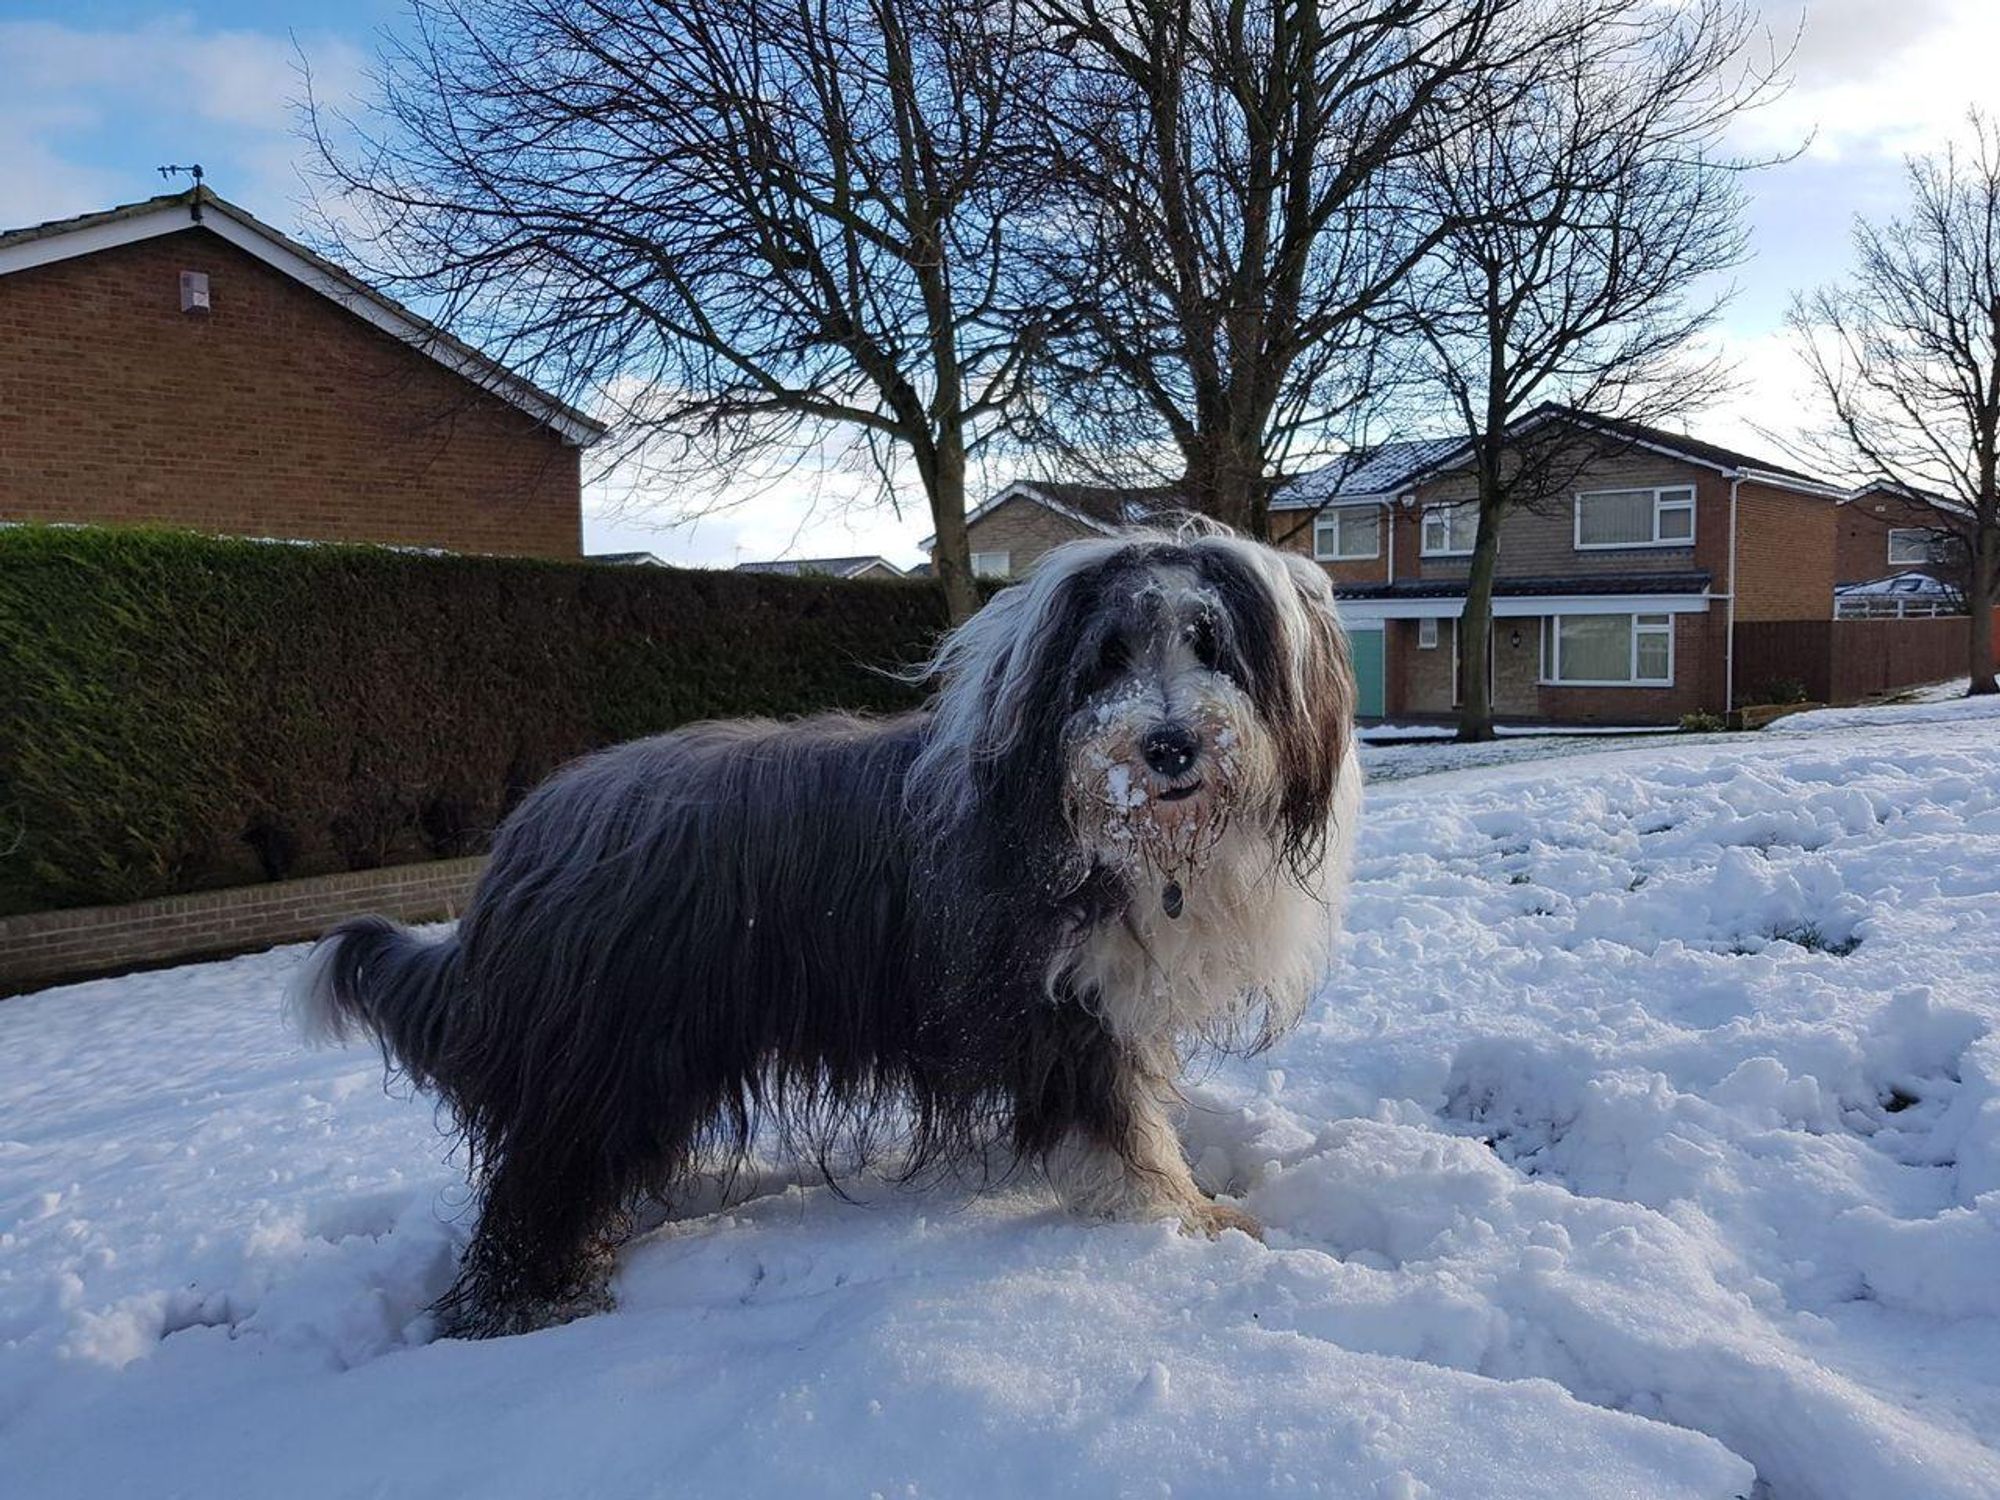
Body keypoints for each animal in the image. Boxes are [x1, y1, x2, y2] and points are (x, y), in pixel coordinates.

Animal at [290, 528, 1368, 1336]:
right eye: (1107, 657)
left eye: (1210, 644)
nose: (1169, 746)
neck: (1110, 835)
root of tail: (525, 834)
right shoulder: (1058, 1004)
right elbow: (1120, 1124)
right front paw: (1180, 1217)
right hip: (608, 1054)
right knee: (541, 1184)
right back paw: (535, 1303)